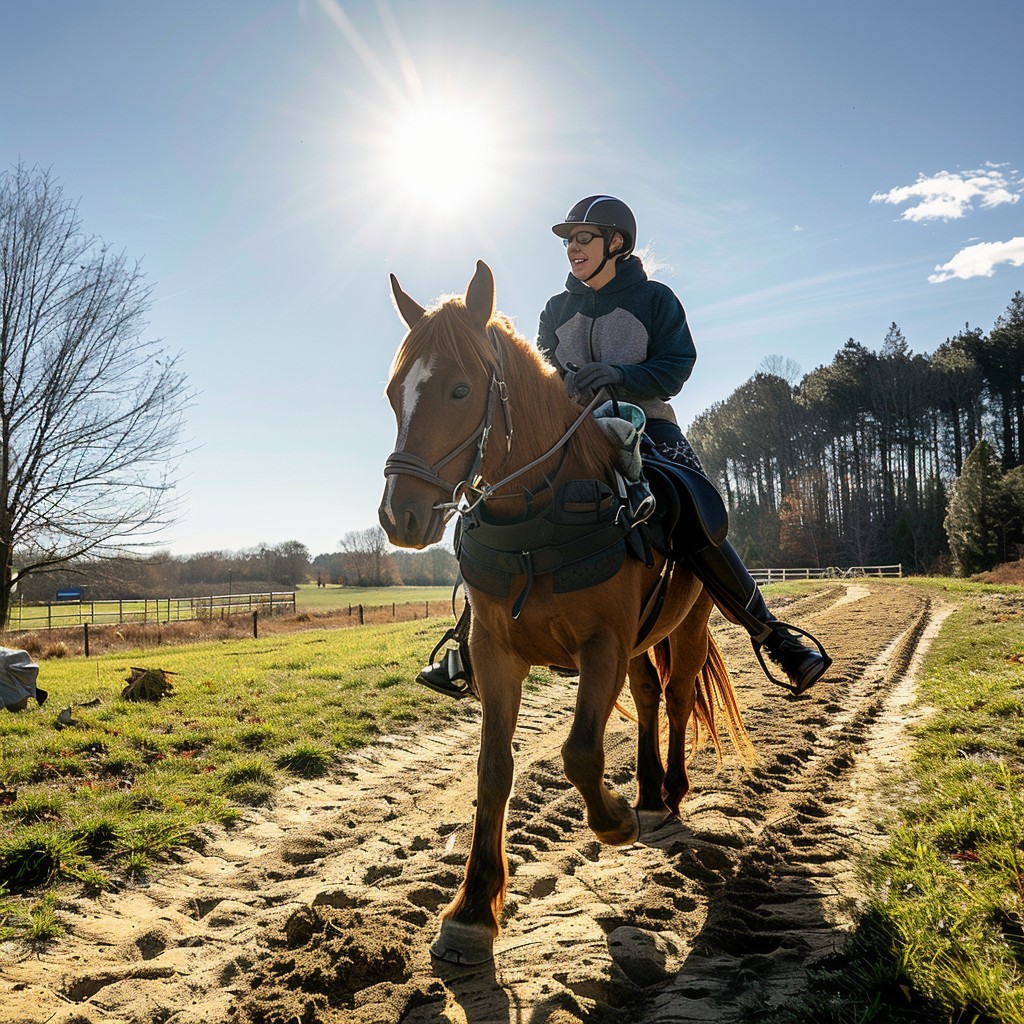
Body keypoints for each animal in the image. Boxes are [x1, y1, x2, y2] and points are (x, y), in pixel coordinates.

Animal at [378, 260, 752, 965]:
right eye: (393, 394)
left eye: (460, 390)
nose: (399, 516)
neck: (539, 512)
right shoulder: (498, 653)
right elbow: (493, 769)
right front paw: (473, 909)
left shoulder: (601, 643)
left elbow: (579, 751)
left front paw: (614, 821)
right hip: (640, 644)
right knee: (651, 696)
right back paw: (650, 791)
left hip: (688, 624)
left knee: (679, 697)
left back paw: (669, 794)